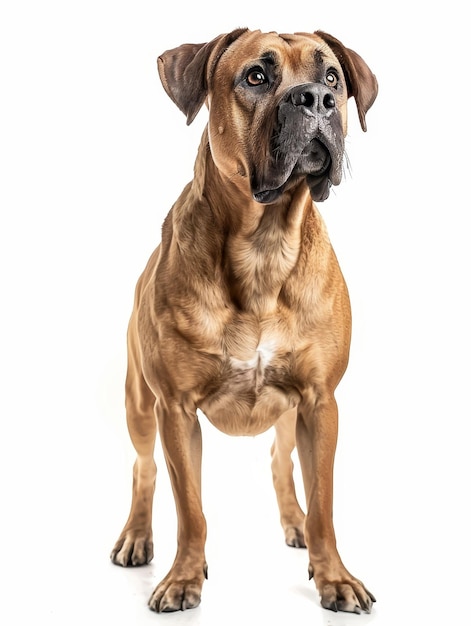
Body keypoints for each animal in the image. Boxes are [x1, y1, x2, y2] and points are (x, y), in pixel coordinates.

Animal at [110, 28, 380, 616]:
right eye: (256, 76)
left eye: (332, 78)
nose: (315, 99)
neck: (265, 245)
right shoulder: (175, 409)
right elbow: (190, 509)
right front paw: (184, 578)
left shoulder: (320, 402)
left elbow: (324, 500)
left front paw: (333, 576)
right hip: (140, 405)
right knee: (143, 469)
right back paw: (137, 536)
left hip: (291, 414)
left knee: (282, 463)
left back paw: (295, 524)